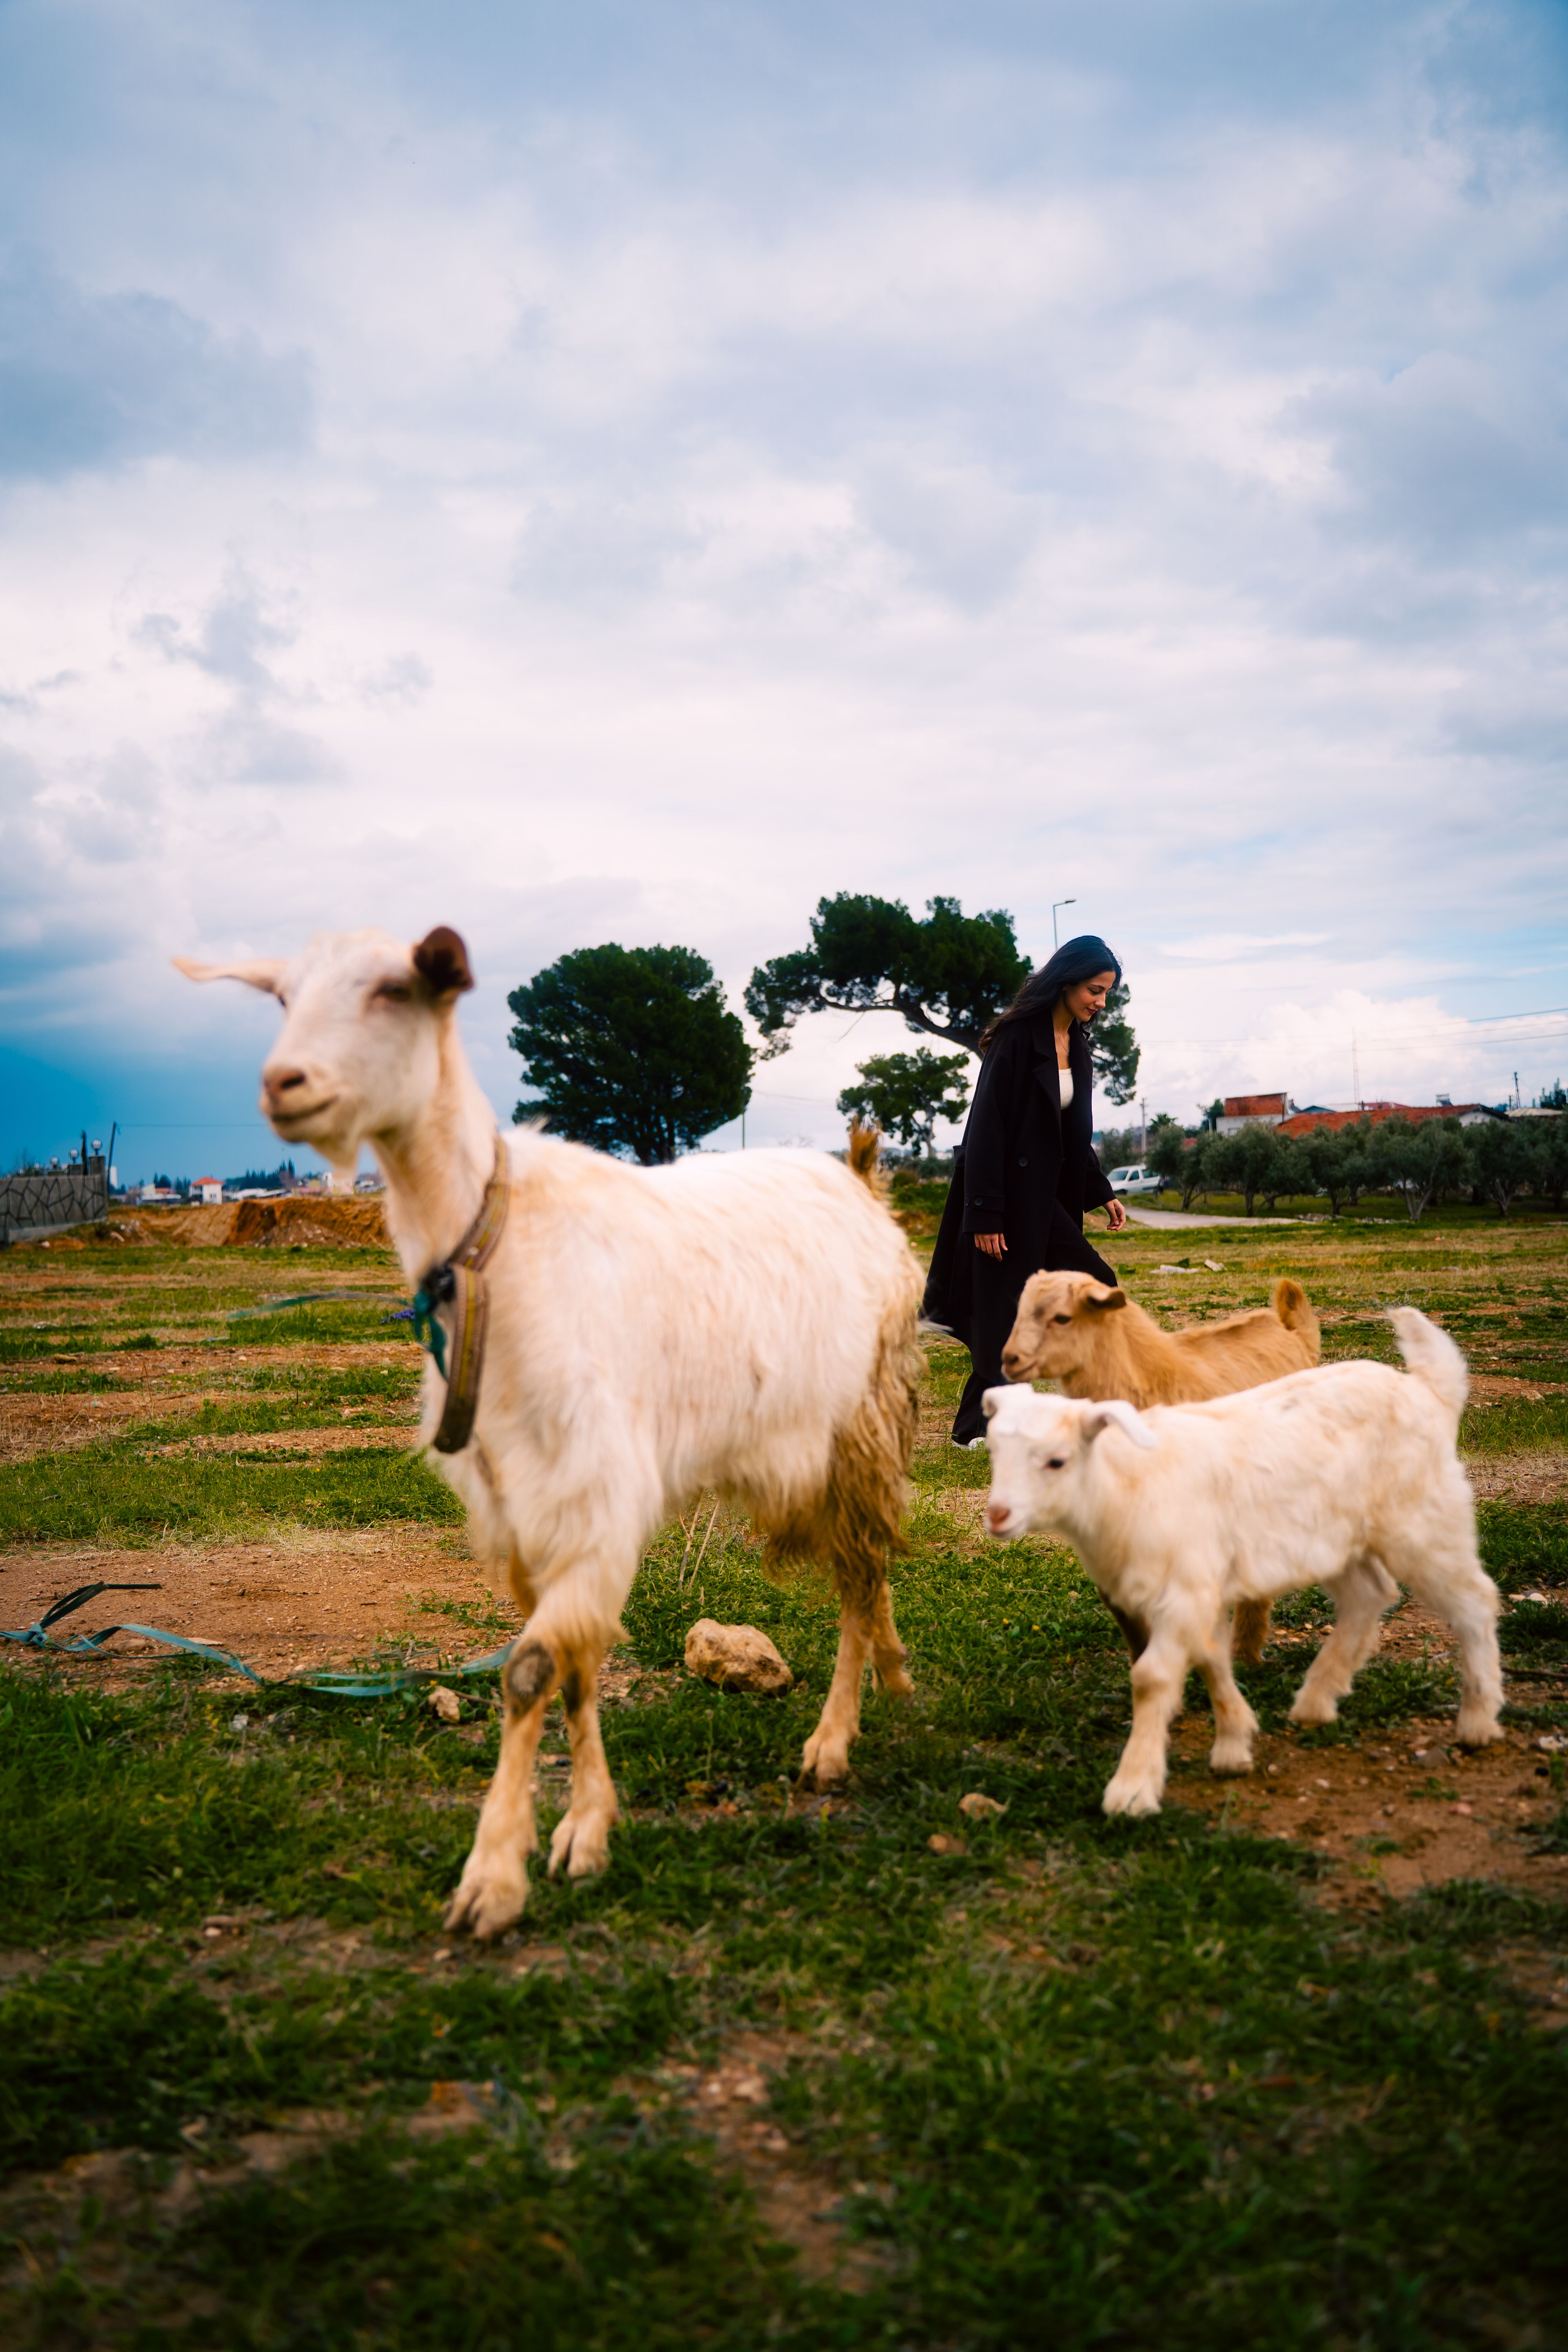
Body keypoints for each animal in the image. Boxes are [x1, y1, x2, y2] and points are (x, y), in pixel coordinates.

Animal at [177, 926, 923, 1937]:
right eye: (283, 998)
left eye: (395, 990)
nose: (283, 1083)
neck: (496, 1246)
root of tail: (857, 1179)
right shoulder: (522, 1504)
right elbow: (570, 1668)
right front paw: (582, 1830)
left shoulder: (598, 1490)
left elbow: (530, 1670)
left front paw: (494, 1874)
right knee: (865, 1575)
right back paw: (887, 1680)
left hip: (858, 1428)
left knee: (859, 1577)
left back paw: (833, 1741)